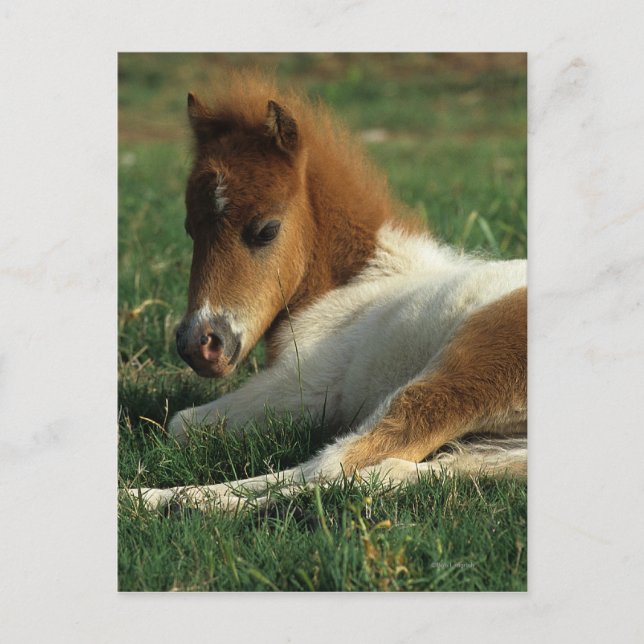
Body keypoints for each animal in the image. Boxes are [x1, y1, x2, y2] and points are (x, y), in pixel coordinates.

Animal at [129, 74, 527, 511]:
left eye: (266, 229)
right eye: (190, 229)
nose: (199, 344)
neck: (359, 282)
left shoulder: (302, 388)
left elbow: (181, 424)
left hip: (463, 376)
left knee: (335, 463)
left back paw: (156, 500)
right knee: (391, 470)